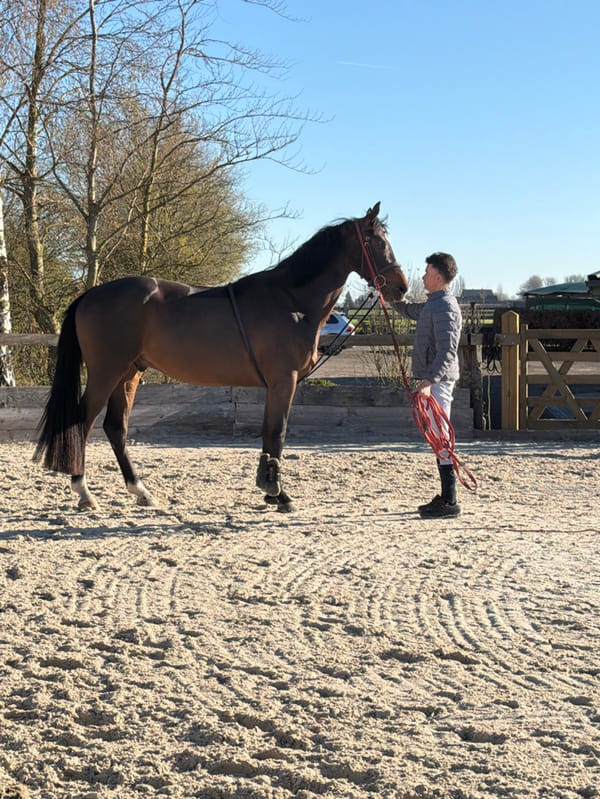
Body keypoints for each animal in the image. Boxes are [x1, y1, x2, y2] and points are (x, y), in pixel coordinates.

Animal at [33, 202, 408, 512]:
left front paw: (269, 489)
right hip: (106, 372)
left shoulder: (276, 384)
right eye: (375, 241)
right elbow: (278, 432)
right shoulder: (283, 380)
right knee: (81, 422)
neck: (290, 301)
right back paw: (84, 493)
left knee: (116, 427)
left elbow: (268, 433)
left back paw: (140, 491)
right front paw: (280, 494)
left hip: (129, 374)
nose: (401, 287)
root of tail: (91, 294)